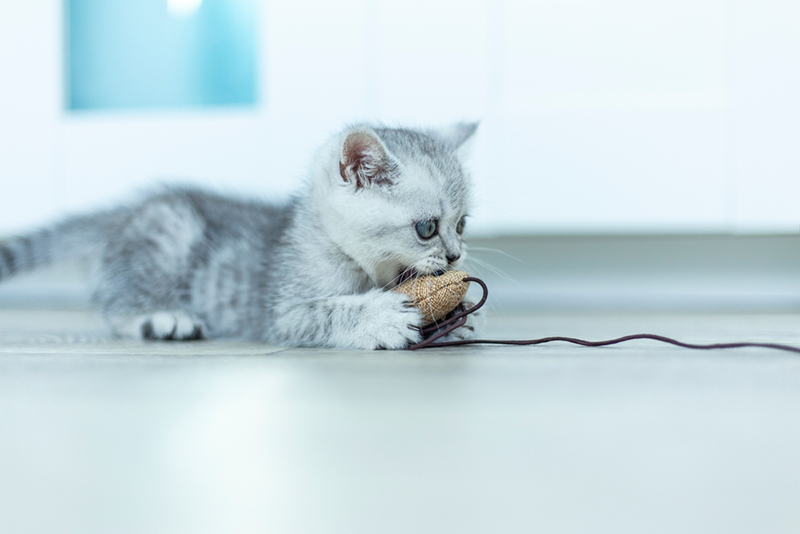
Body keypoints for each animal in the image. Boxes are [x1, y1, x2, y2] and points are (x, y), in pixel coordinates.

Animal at [0, 123, 478, 350]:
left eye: (461, 225)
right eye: (426, 228)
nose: (456, 256)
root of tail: (127, 211)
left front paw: (456, 323)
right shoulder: (282, 312)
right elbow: (324, 312)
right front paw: (377, 318)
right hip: (169, 227)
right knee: (116, 307)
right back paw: (165, 317)